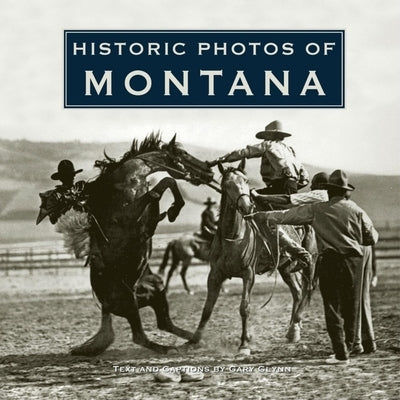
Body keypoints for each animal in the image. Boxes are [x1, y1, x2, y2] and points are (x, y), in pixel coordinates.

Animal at [183, 161, 318, 354]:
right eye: (226, 184)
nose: (247, 206)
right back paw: (293, 331)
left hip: (311, 261)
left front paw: (244, 344)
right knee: (297, 292)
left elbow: (244, 307)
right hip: (285, 268)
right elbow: (207, 309)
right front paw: (193, 340)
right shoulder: (215, 275)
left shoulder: (248, 274)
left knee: (308, 289)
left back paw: (295, 326)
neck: (233, 237)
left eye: (246, 181)